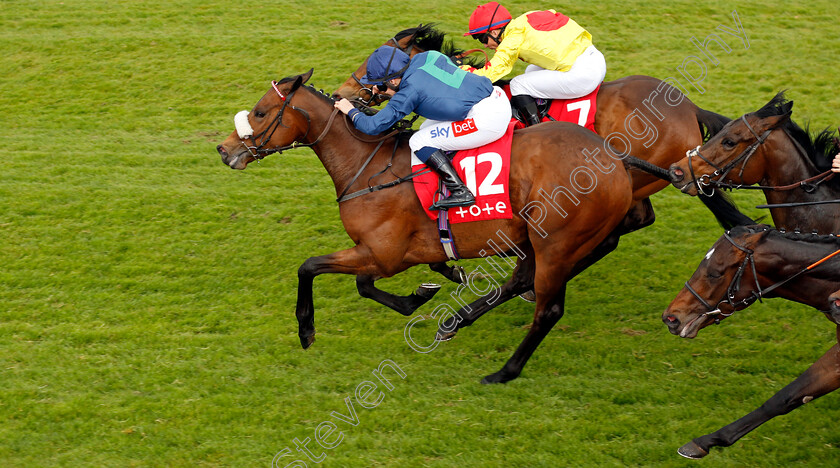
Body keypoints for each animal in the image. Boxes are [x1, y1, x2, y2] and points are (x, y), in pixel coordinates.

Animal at [217, 70, 648, 384]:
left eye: (259, 112)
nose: (224, 150)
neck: (367, 168)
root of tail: (614, 159)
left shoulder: (383, 253)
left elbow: (311, 267)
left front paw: (306, 329)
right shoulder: (388, 253)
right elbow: (368, 283)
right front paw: (425, 292)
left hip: (555, 243)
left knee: (549, 309)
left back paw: (504, 372)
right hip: (532, 240)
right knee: (521, 282)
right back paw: (454, 323)